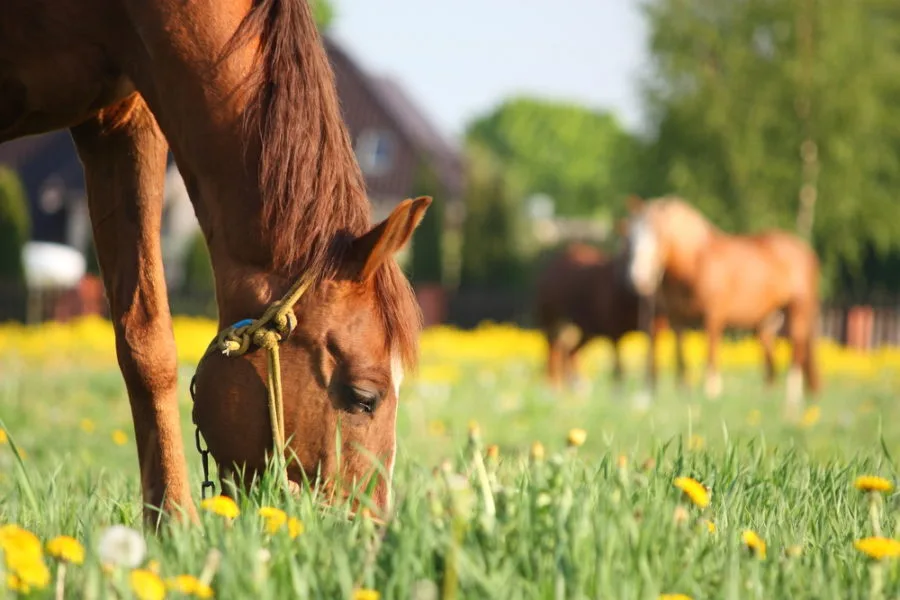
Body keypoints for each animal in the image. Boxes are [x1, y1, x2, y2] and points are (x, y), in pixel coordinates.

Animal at [535, 242, 661, 391]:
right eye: (627, 251)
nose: (640, 280)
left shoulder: (653, 331)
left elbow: (652, 361)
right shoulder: (614, 332)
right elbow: (618, 366)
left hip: (586, 330)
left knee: (569, 350)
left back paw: (576, 384)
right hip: (553, 319)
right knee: (554, 348)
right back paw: (553, 385)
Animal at [621, 195, 821, 418]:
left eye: (659, 235)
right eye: (631, 238)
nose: (638, 278)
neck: (693, 263)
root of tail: (805, 249)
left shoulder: (713, 316)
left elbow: (711, 351)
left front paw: (711, 393)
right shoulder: (677, 318)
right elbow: (681, 355)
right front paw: (683, 391)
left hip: (798, 309)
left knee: (797, 350)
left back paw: (791, 400)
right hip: (766, 320)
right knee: (770, 360)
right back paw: (766, 399)